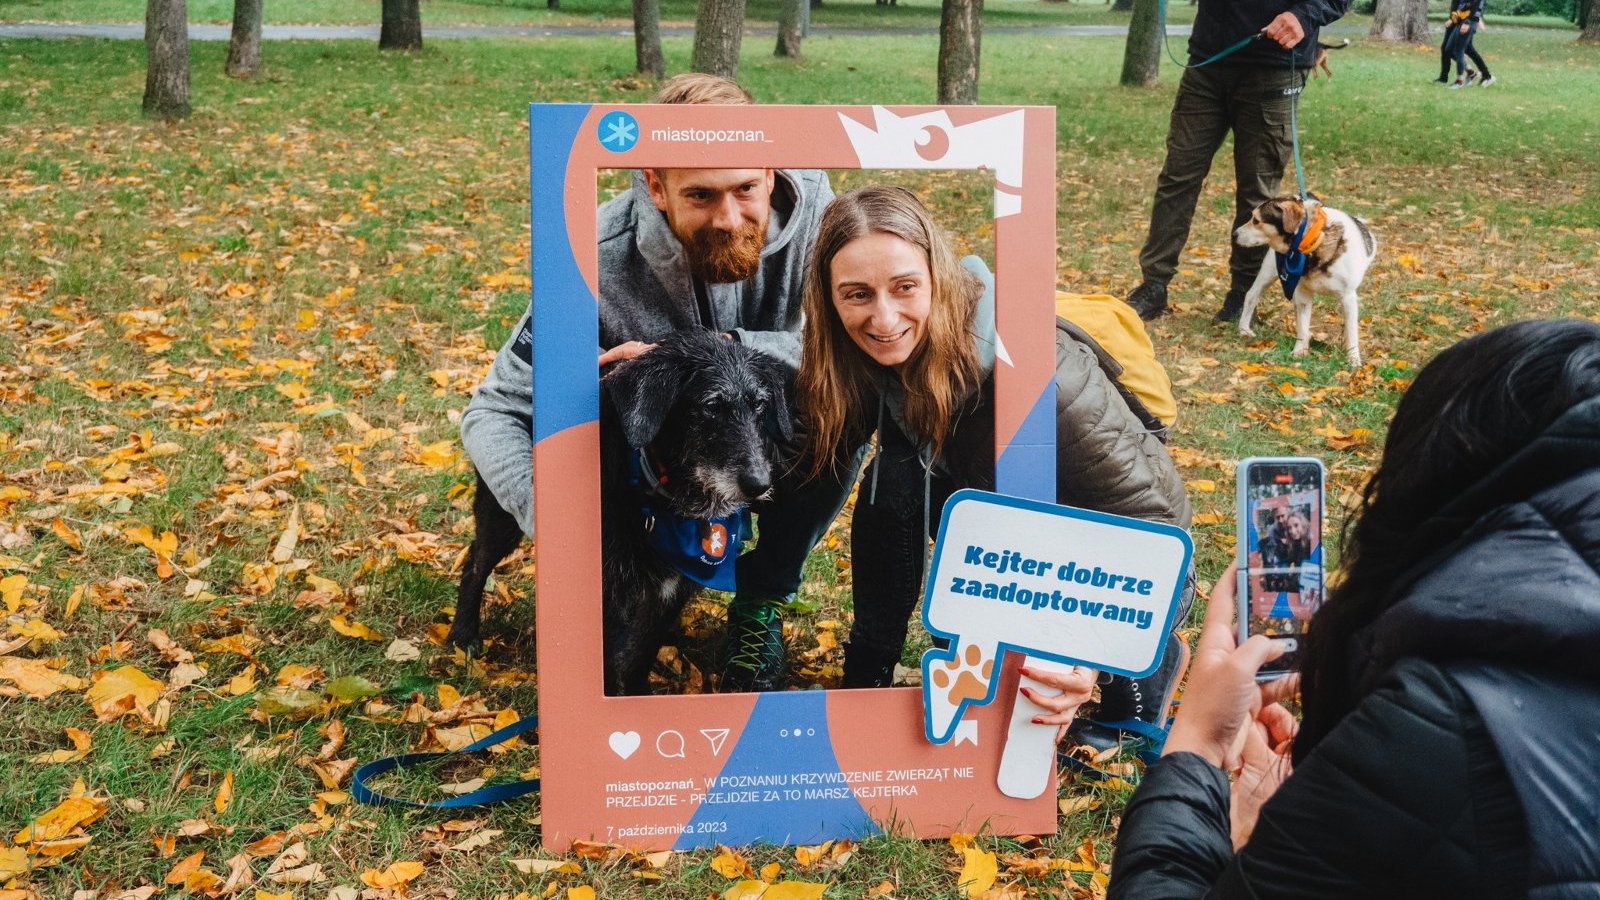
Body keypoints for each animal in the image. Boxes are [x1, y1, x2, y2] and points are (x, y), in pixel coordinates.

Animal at [444, 328, 793, 695]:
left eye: (760, 404)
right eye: (711, 406)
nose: (759, 484)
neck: (661, 496)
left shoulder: (669, 593)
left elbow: (641, 652)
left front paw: (638, 696)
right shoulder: (609, 594)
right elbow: (609, 665)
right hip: (500, 508)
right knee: (475, 562)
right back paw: (463, 636)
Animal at [1235, 194, 1376, 366]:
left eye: (1256, 220)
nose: (1234, 234)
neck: (1312, 242)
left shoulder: (1348, 297)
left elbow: (1351, 331)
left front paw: (1354, 359)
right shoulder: (1303, 293)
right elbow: (1302, 326)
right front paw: (1299, 352)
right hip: (1269, 272)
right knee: (1251, 295)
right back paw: (1243, 329)